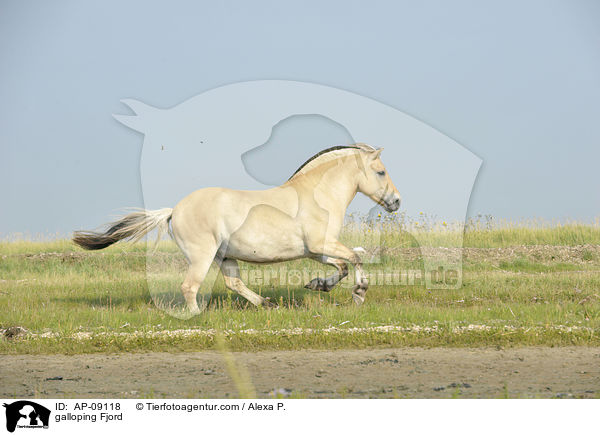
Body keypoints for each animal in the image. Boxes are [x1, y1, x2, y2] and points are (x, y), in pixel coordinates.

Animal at [76, 145, 404, 312]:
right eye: (380, 172)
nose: (396, 201)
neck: (318, 196)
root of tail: (174, 210)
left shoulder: (317, 251)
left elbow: (344, 265)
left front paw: (317, 285)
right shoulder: (320, 246)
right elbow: (355, 258)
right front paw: (359, 294)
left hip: (225, 256)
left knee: (233, 283)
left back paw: (267, 304)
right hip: (203, 256)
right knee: (190, 287)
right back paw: (198, 318)